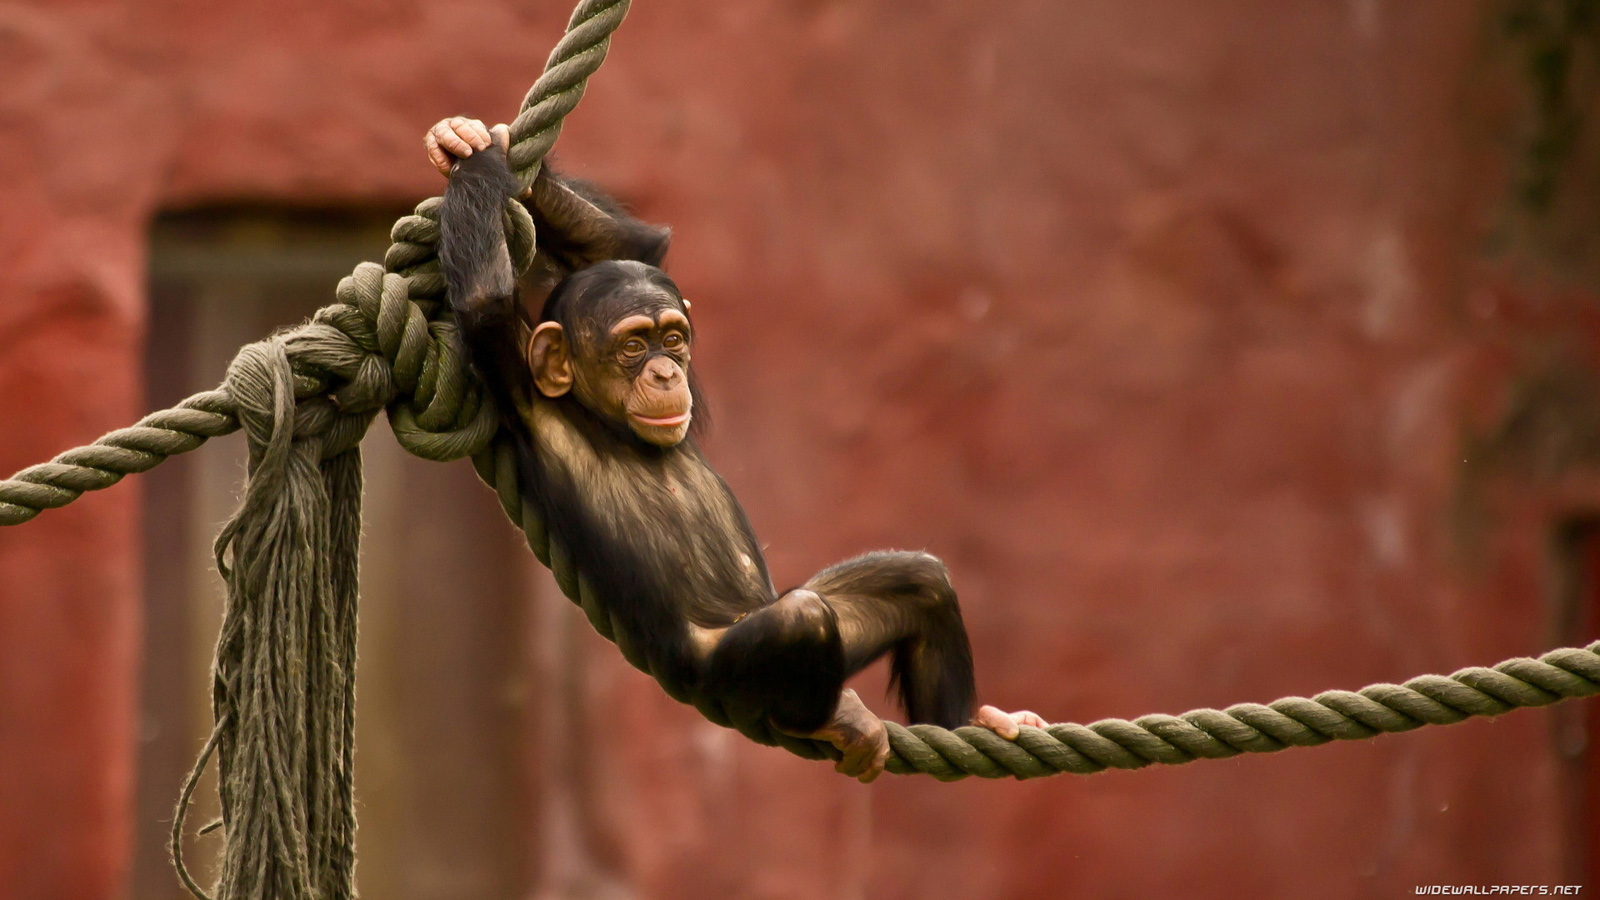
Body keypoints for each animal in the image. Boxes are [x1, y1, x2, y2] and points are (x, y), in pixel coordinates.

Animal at [428, 117, 1045, 781]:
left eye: (673, 338)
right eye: (632, 346)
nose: (665, 372)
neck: (608, 424)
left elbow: (634, 249)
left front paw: (483, 149)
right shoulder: (519, 385)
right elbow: (484, 303)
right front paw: (471, 159)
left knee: (917, 580)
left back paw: (974, 722)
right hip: (725, 676)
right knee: (801, 621)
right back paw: (833, 718)